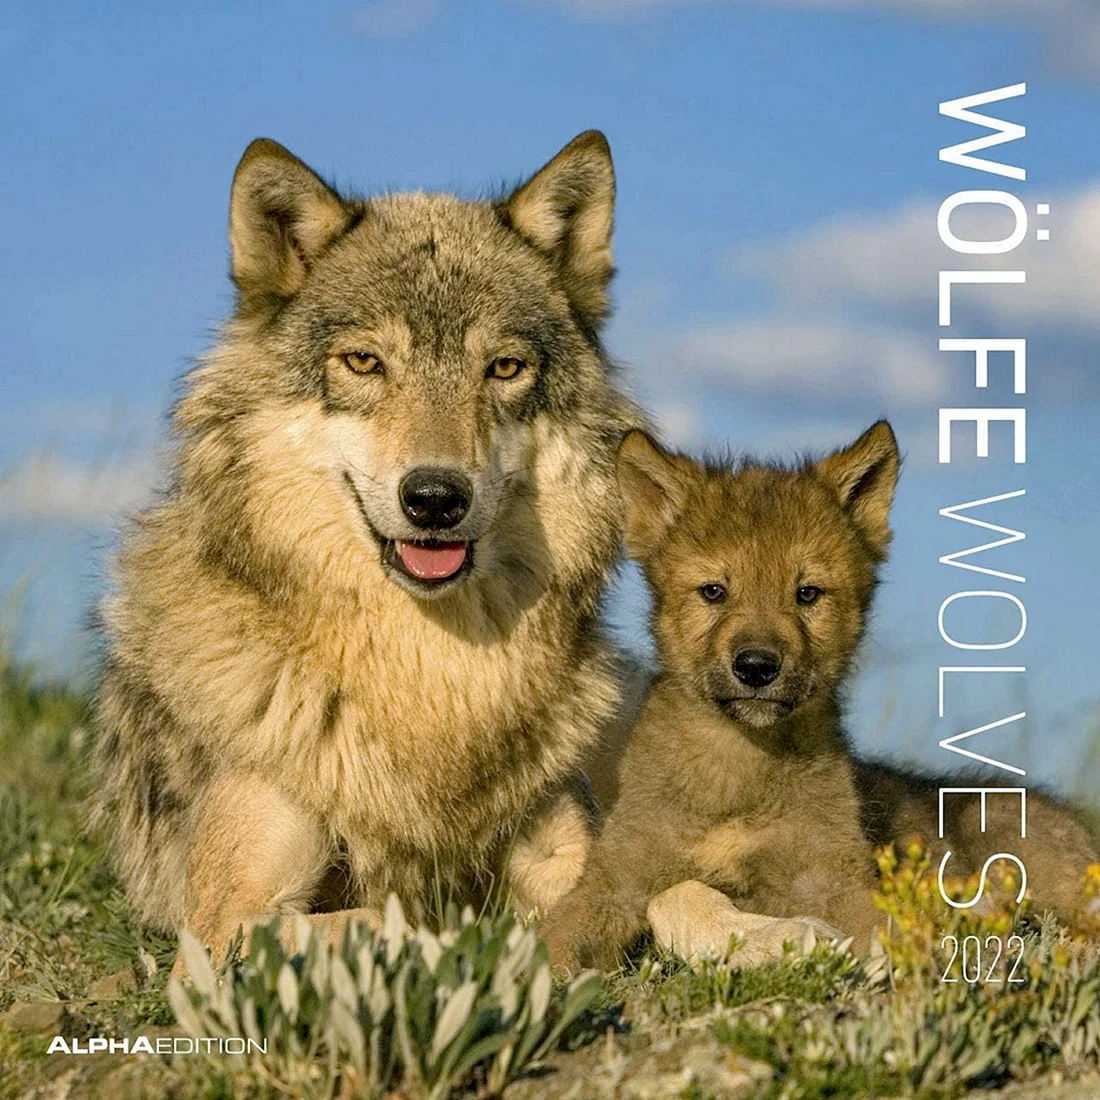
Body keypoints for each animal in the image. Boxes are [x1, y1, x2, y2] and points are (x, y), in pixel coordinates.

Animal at [94, 131, 644, 962]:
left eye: (504, 368)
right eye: (364, 362)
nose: (437, 498)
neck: (429, 677)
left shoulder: (564, 846)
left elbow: (658, 900)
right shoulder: (227, 923)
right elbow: (413, 915)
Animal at [541, 423, 1098, 970]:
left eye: (807, 594)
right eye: (714, 591)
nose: (756, 667)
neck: (740, 767)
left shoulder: (839, 883)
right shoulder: (613, 879)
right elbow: (560, 939)